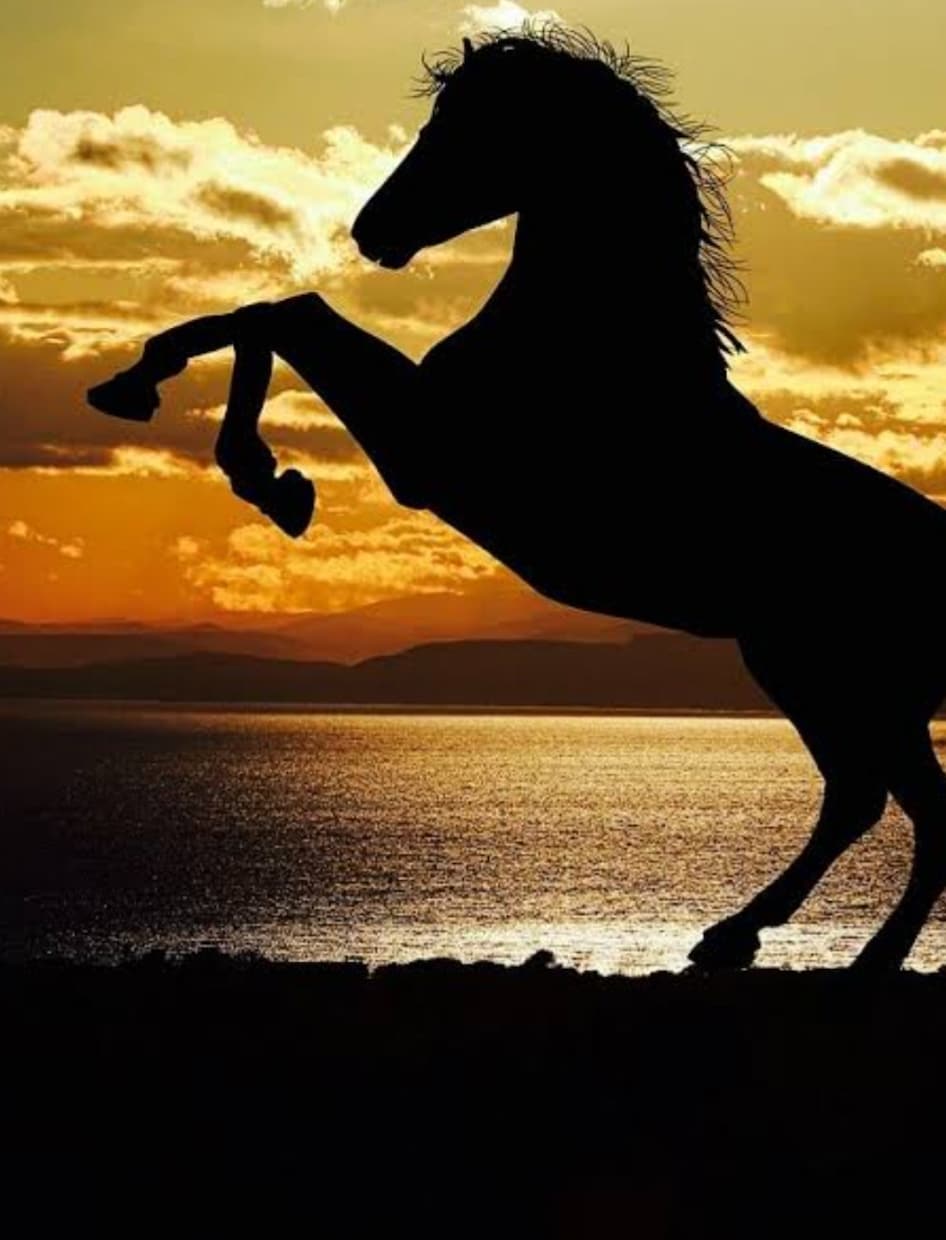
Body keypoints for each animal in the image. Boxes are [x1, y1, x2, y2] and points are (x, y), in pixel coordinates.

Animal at [87, 26, 946, 972]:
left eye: (468, 127)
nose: (371, 231)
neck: (583, 347)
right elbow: (269, 313)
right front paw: (164, 402)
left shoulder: (424, 450)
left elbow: (286, 314)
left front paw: (256, 468)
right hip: (816, 675)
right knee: (866, 799)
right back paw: (736, 936)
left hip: (842, 679)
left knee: (907, 810)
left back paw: (851, 957)